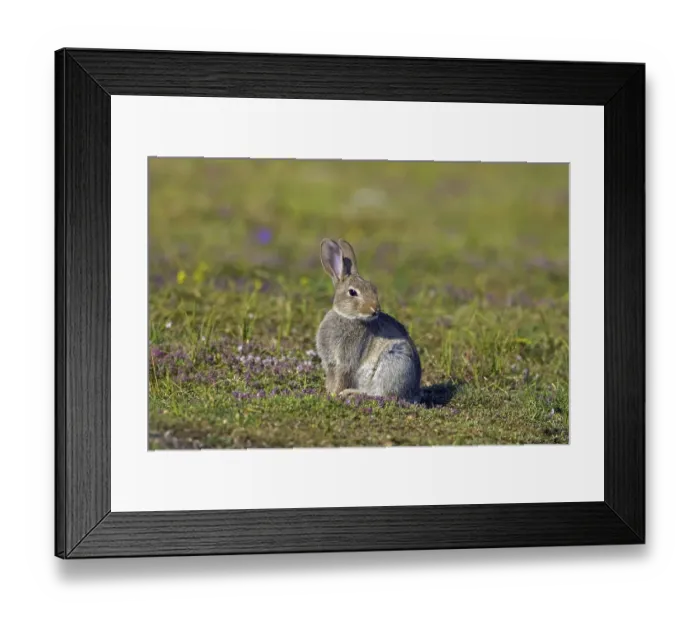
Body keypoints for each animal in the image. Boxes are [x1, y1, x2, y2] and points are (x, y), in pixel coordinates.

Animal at [315, 238, 422, 402]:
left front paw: (335, 395)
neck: (347, 316)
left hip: (394, 361)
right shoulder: (331, 363)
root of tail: (412, 393)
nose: (375, 309)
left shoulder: (346, 361)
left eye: (373, 288)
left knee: (381, 394)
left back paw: (352, 393)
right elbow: (332, 379)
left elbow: (342, 377)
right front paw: (329, 393)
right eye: (352, 292)